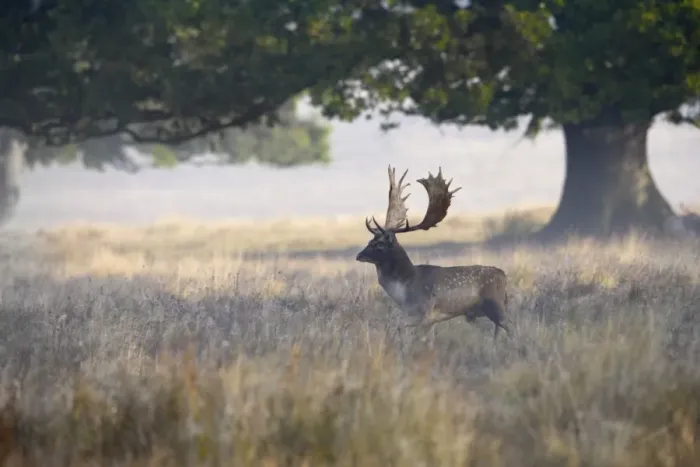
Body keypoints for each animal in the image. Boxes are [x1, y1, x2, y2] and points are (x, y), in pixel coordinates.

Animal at [356, 166, 511, 340]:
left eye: (380, 244)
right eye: (370, 240)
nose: (359, 255)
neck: (404, 292)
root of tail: (503, 275)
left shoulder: (425, 313)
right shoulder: (417, 317)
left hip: (495, 305)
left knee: (511, 327)